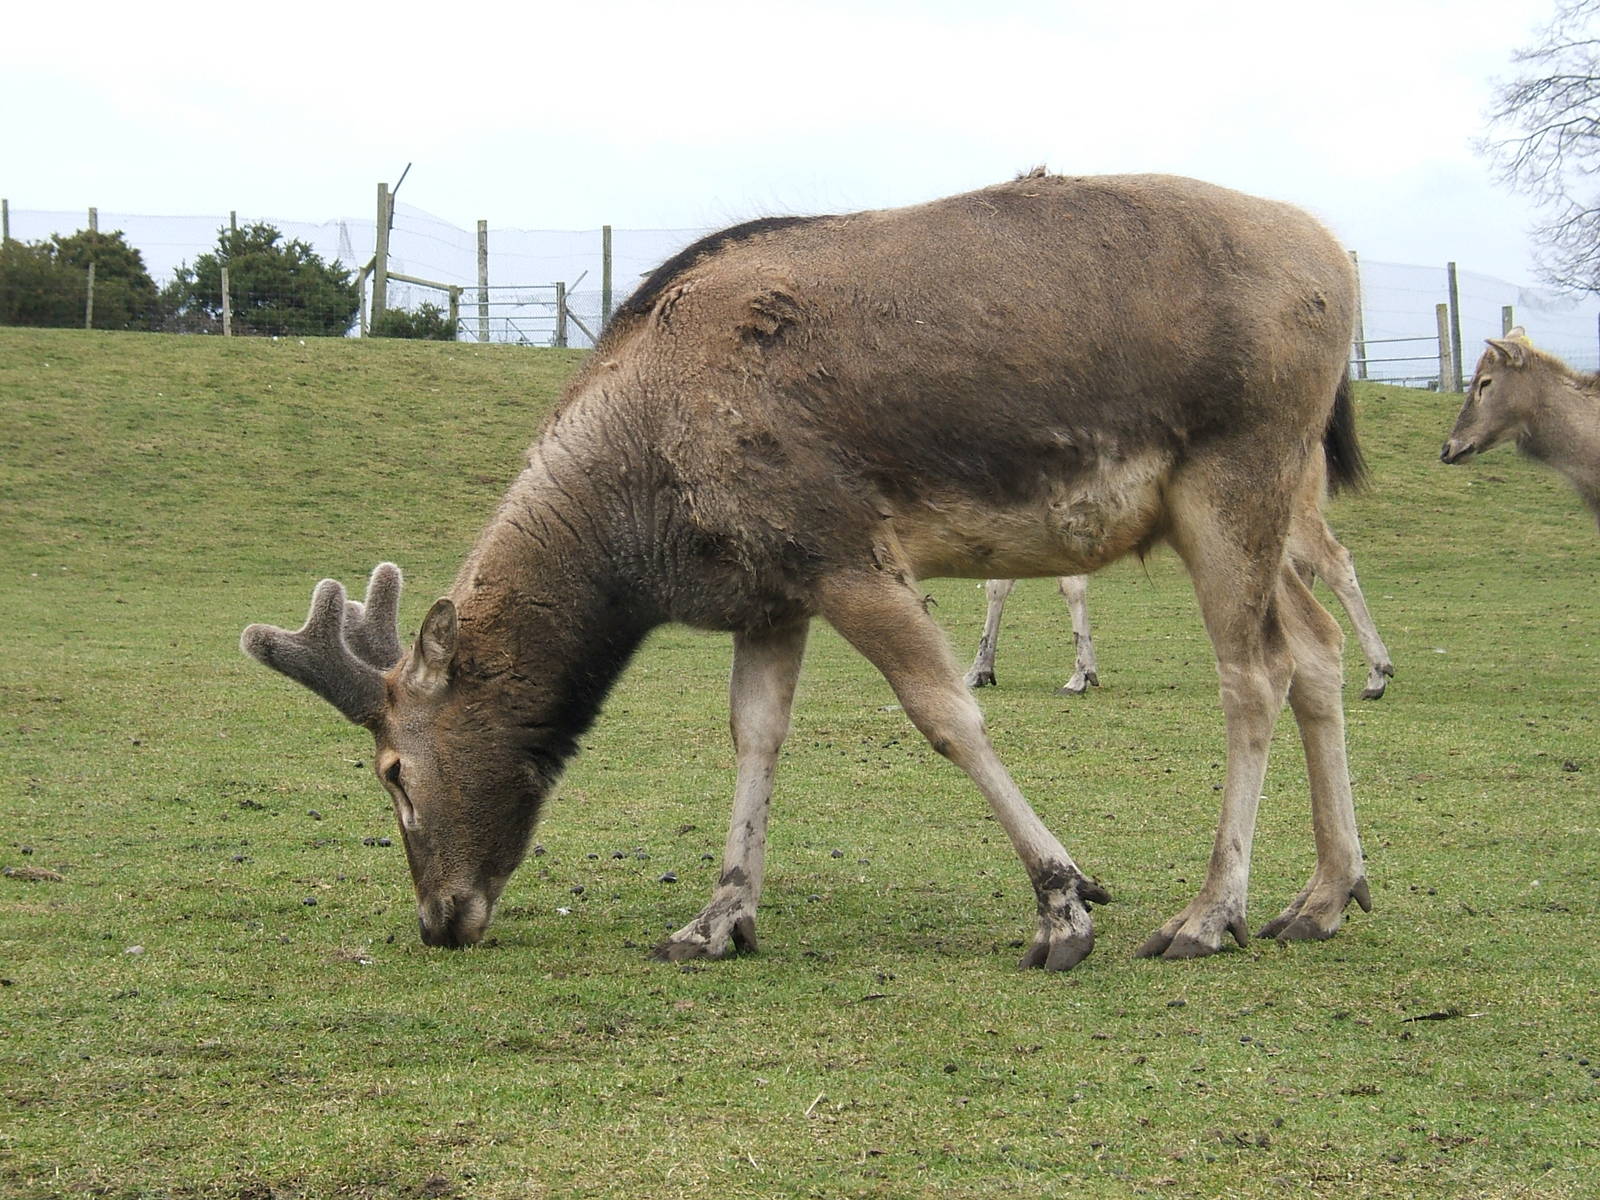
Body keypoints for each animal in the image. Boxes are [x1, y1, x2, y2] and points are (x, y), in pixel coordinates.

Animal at [965, 449, 1395, 699]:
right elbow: (999, 586)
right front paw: (981, 669)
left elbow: (1069, 587)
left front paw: (1080, 675)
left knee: (1337, 562)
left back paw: (1376, 674)